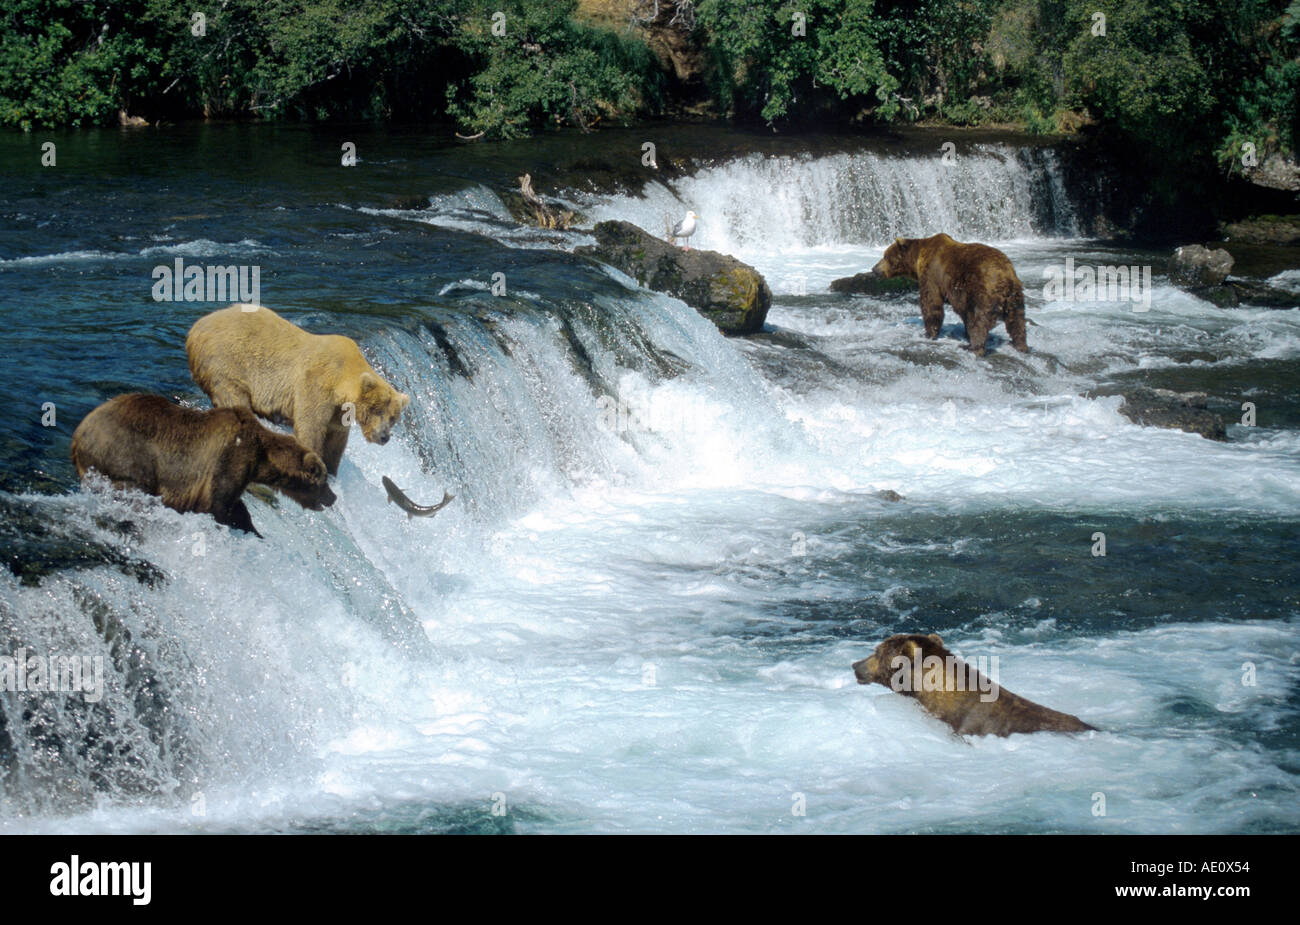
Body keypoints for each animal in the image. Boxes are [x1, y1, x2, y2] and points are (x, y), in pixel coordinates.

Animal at [70, 393, 336, 537]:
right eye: (323, 480)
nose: (333, 497)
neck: (261, 457)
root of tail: (78, 434)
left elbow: (236, 506)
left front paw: (254, 529)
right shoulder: (230, 459)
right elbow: (219, 503)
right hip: (125, 453)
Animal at [185, 304, 410, 476]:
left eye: (393, 418)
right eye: (378, 410)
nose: (384, 437)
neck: (340, 381)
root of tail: (195, 328)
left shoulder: (338, 413)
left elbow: (336, 440)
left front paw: (332, 470)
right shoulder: (316, 385)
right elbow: (311, 425)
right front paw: (316, 462)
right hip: (226, 360)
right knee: (233, 395)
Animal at [872, 233, 1028, 356]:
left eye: (885, 256)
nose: (874, 269)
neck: (917, 260)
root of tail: (1005, 276)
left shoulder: (931, 275)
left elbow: (931, 304)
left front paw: (929, 334)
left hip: (981, 290)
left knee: (978, 318)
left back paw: (973, 347)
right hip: (1015, 296)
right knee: (1017, 321)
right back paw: (1020, 345)